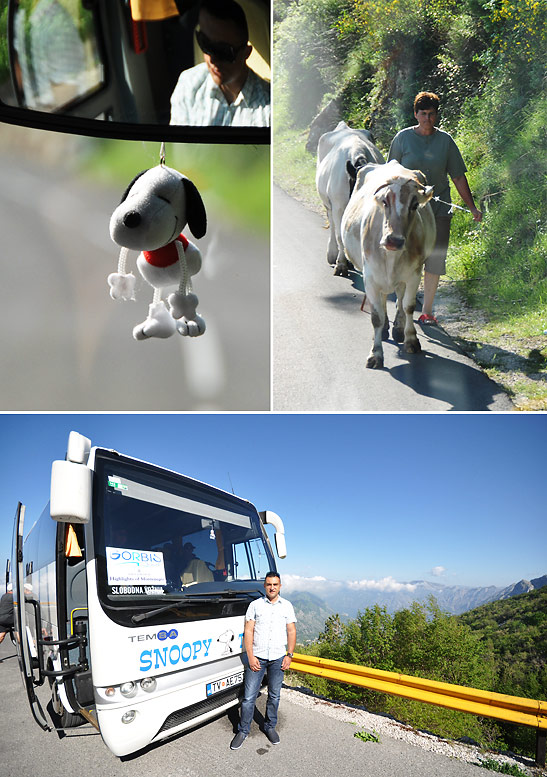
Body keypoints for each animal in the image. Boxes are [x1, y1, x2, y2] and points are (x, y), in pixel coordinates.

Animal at [314, 119, 384, 278]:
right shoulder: (339, 207)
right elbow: (340, 235)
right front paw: (341, 264)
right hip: (328, 203)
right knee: (333, 225)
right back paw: (333, 254)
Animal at [342, 159, 436, 368]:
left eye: (415, 205)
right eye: (384, 201)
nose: (394, 240)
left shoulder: (414, 274)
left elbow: (409, 306)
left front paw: (411, 339)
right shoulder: (370, 278)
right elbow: (376, 316)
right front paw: (376, 353)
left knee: (399, 297)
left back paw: (398, 328)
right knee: (384, 300)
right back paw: (385, 328)